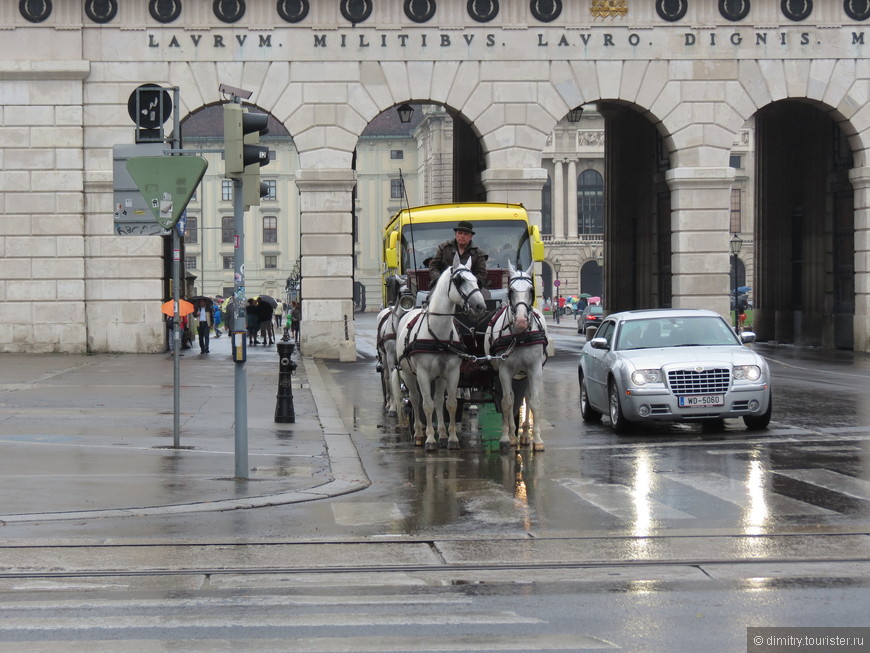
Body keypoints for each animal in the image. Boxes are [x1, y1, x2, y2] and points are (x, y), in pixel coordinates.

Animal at [374, 278, 416, 422]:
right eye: (400, 293)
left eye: (412, 291)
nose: (408, 305)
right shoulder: (391, 357)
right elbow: (393, 380)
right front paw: (393, 407)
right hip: (384, 356)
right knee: (387, 377)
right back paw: (388, 403)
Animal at [396, 258, 488, 450]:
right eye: (459, 280)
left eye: (477, 280)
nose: (480, 306)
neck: (438, 332)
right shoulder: (422, 373)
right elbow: (427, 405)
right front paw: (430, 439)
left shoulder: (452, 373)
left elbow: (450, 404)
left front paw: (452, 438)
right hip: (408, 374)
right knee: (415, 399)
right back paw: (418, 433)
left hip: (439, 377)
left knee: (439, 400)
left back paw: (443, 434)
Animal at [488, 262, 548, 450]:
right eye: (511, 291)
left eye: (531, 290)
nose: (521, 320)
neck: (520, 336)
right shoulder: (504, 371)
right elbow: (506, 402)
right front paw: (506, 437)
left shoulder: (535, 369)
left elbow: (534, 402)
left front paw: (537, 439)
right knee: (511, 398)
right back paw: (513, 435)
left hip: (525, 374)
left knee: (526, 398)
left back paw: (525, 434)